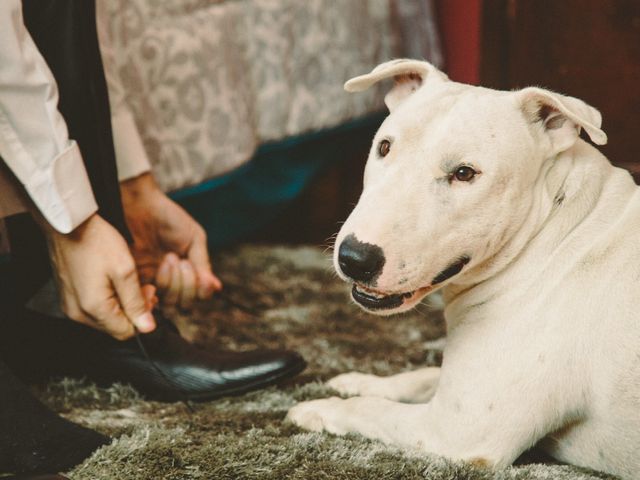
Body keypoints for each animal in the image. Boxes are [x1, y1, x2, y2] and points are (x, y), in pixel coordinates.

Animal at [288, 58, 640, 478]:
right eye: (384, 147)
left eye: (464, 173)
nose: (355, 258)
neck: (550, 234)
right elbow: (423, 376)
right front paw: (360, 381)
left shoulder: (456, 430)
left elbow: (371, 410)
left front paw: (317, 408)